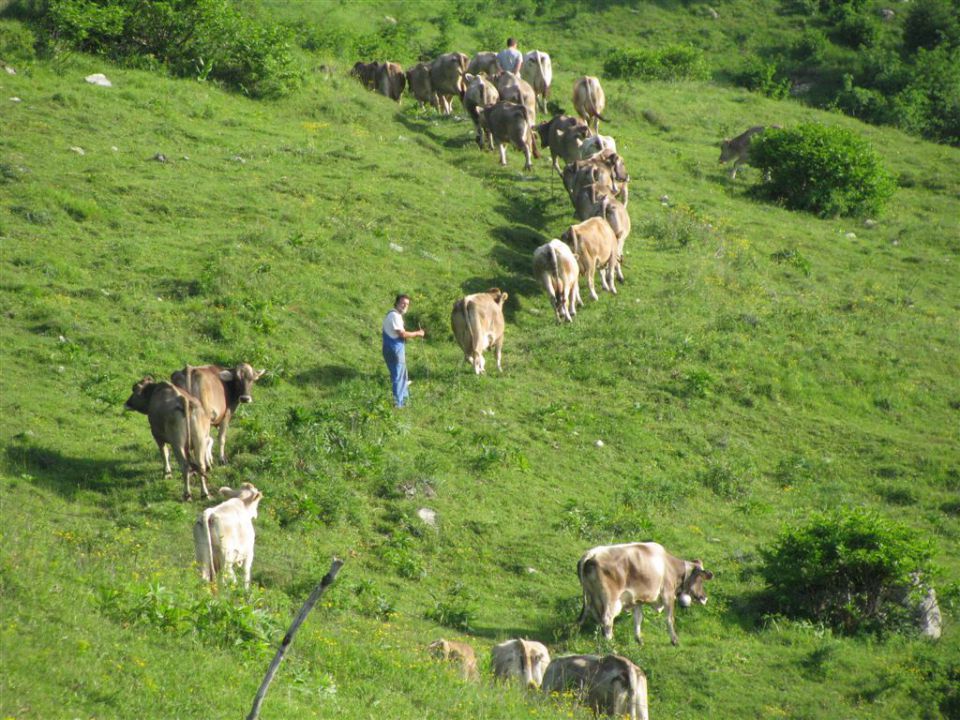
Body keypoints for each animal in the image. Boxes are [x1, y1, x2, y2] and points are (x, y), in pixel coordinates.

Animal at [576, 540, 712, 648]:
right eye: (701, 580)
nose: (705, 598)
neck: (670, 566)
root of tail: (591, 554)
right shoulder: (667, 594)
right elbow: (669, 619)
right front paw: (674, 640)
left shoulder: (637, 599)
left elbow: (638, 618)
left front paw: (639, 640)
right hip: (610, 599)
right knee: (607, 619)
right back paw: (611, 644)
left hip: (590, 596)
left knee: (591, 615)